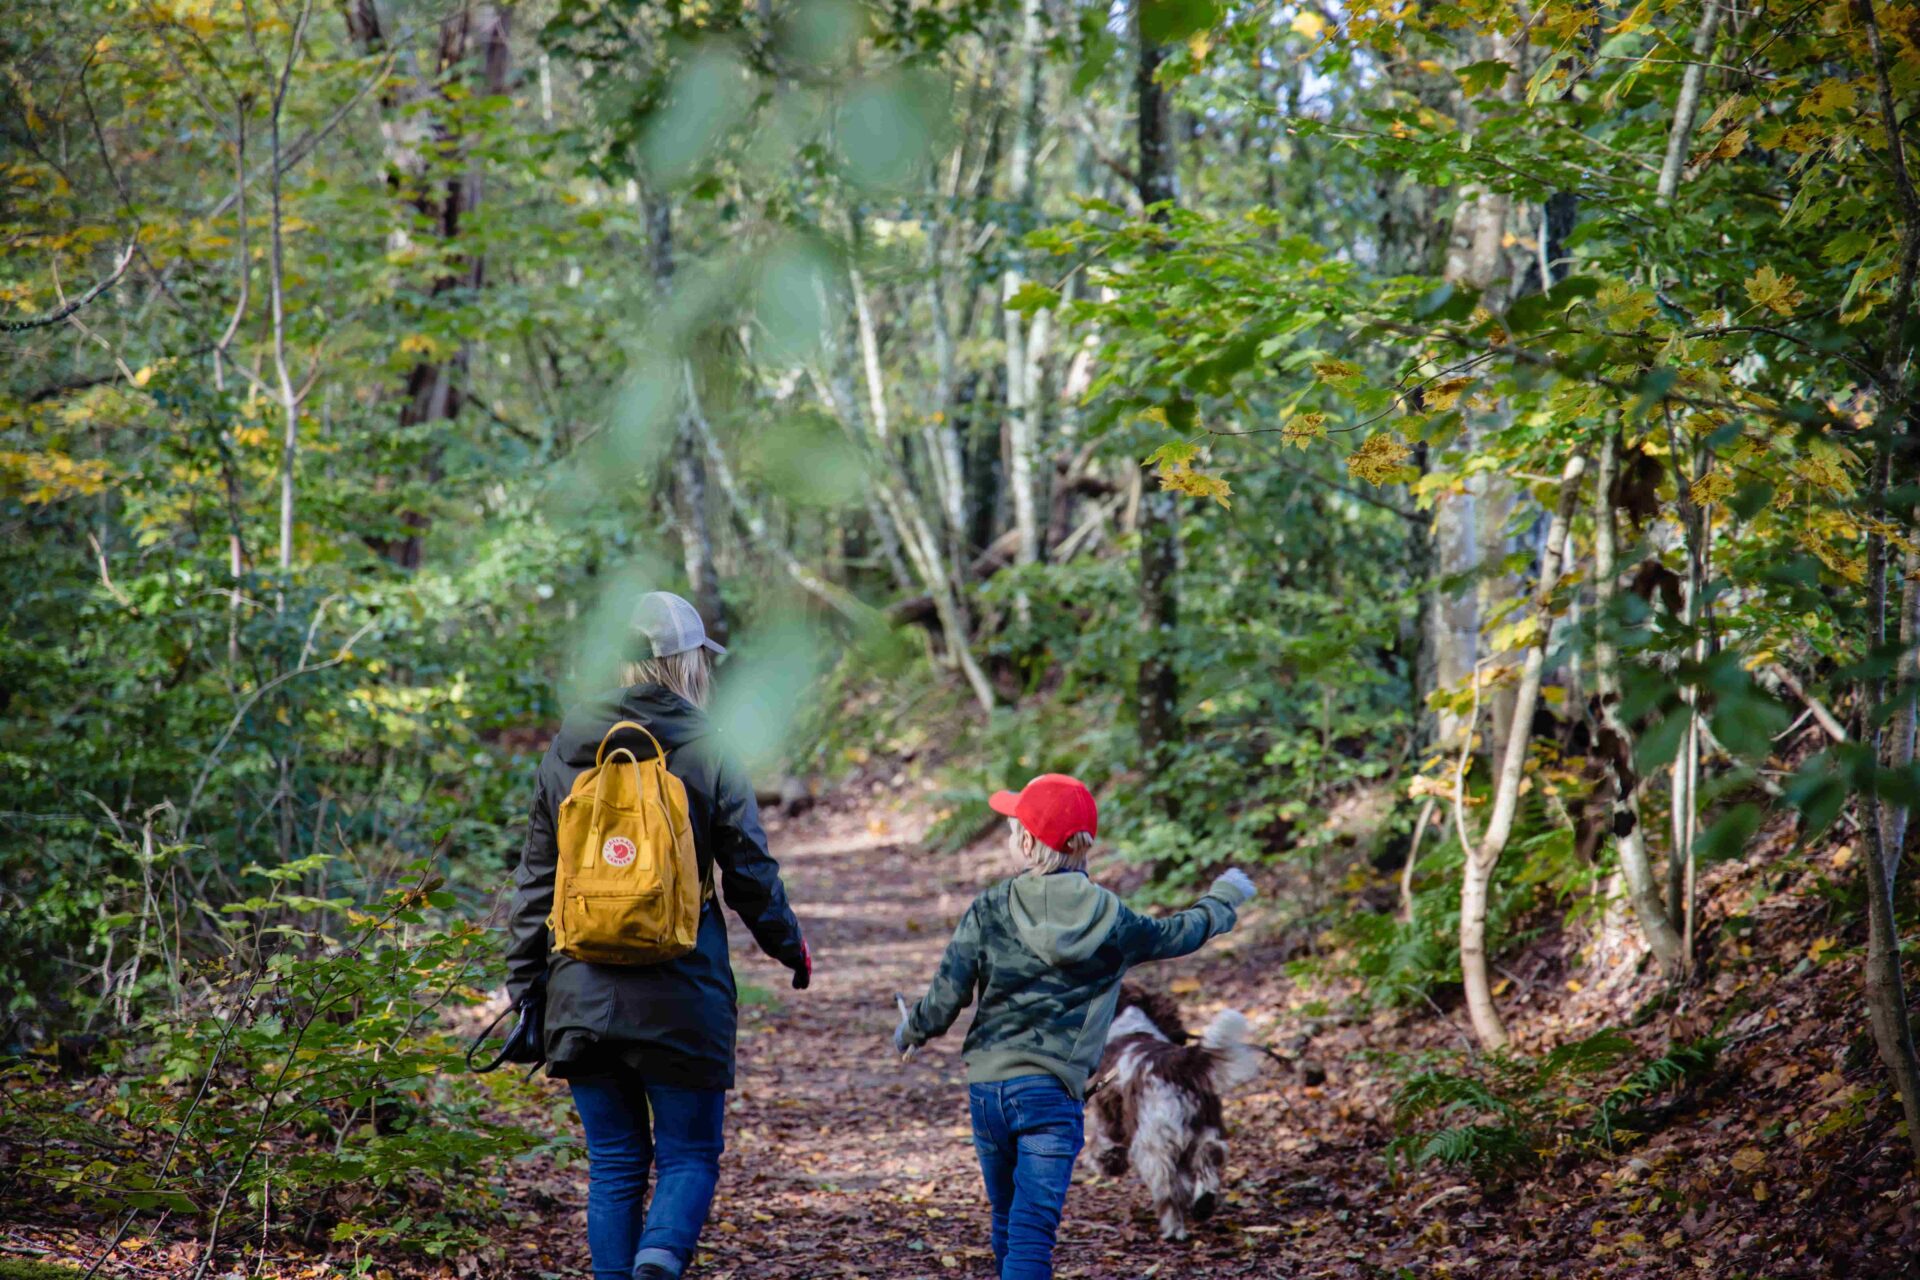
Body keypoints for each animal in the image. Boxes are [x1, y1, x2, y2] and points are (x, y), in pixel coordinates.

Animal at [1090, 982, 1267, 1243]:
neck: (1129, 1026)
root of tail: (1178, 1066)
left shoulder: (1107, 1113)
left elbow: (1101, 1143)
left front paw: (1107, 1162)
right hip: (1205, 1127)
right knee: (1210, 1153)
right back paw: (1203, 1203)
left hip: (1154, 1145)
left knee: (1167, 1191)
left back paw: (1174, 1229)